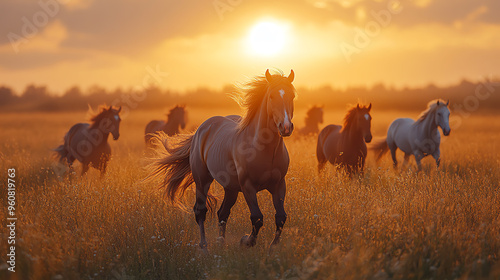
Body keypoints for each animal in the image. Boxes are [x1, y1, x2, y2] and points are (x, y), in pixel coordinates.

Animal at [146, 69, 298, 247]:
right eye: (272, 96)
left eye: (292, 96)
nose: (286, 127)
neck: (264, 149)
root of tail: (201, 129)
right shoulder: (248, 186)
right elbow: (257, 218)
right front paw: (245, 241)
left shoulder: (279, 185)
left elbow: (280, 218)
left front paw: (271, 249)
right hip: (202, 181)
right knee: (200, 211)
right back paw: (204, 247)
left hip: (231, 188)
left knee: (222, 213)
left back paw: (221, 242)